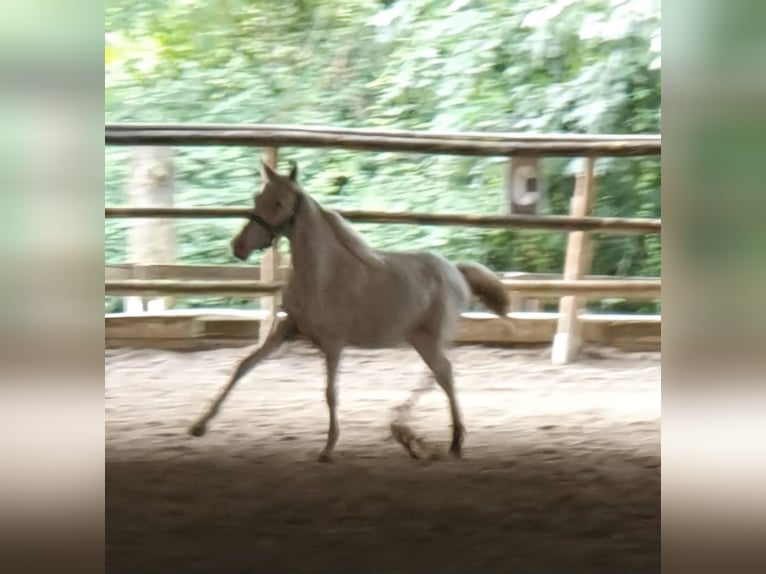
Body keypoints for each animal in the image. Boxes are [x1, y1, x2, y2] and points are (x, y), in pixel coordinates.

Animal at [189, 161, 510, 464]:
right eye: (257, 197)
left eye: (279, 203)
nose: (238, 246)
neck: (322, 274)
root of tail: (456, 270)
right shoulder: (287, 328)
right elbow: (243, 366)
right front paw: (199, 426)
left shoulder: (333, 343)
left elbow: (330, 393)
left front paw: (328, 449)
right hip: (419, 338)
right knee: (438, 373)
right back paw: (408, 433)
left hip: (429, 337)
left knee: (444, 374)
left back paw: (448, 441)